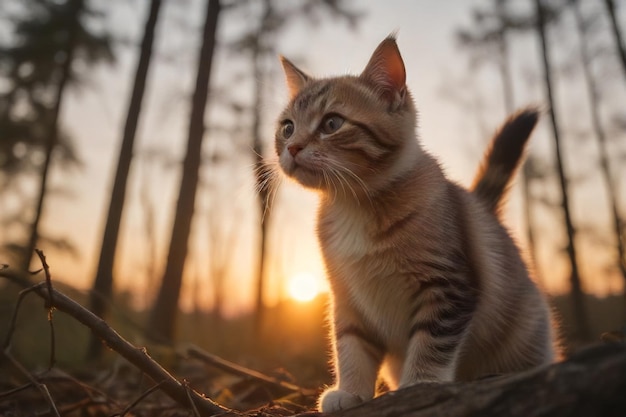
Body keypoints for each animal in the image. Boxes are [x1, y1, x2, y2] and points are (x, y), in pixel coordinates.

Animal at [272, 36, 556, 412]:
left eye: (332, 124)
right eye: (287, 127)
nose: (292, 147)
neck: (354, 206)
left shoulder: (448, 285)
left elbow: (431, 341)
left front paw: (421, 384)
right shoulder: (347, 297)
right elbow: (351, 346)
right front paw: (350, 391)